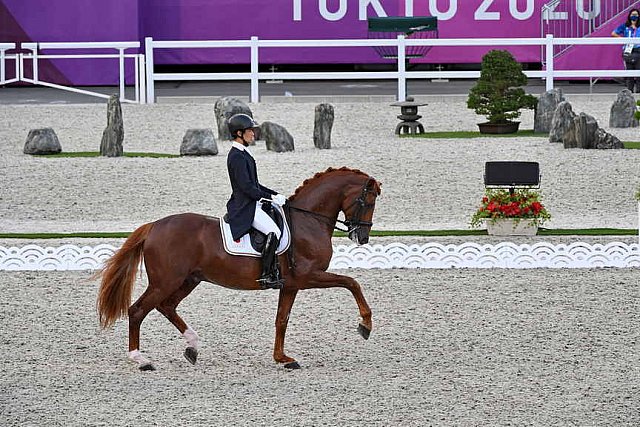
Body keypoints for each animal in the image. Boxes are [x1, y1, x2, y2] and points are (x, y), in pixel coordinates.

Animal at [97, 167, 382, 372]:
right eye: (368, 202)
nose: (362, 237)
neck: (308, 221)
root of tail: (154, 226)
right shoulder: (308, 277)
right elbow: (351, 282)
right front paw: (365, 325)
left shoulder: (290, 285)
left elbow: (281, 320)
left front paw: (282, 358)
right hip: (165, 281)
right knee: (137, 311)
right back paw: (141, 360)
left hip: (189, 280)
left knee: (167, 307)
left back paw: (193, 347)